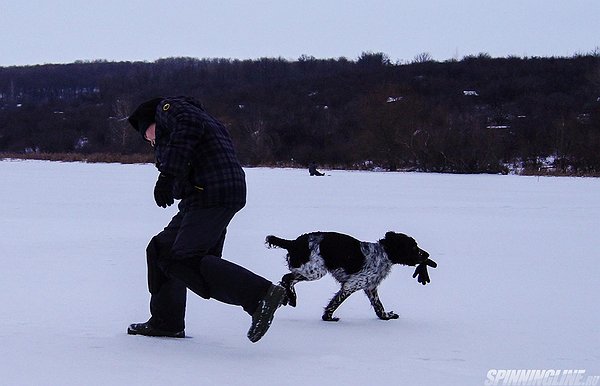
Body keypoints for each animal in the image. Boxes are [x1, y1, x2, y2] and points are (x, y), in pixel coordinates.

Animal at [266, 231, 436, 322]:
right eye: (413, 247)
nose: (427, 255)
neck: (383, 253)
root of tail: (293, 243)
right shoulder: (351, 285)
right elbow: (334, 303)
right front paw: (328, 317)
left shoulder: (370, 287)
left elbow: (378, 306)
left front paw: (386, 316)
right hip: (314, 271)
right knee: (287, 278)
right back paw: (292, 298)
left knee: (286, 279)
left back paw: (288, 298)